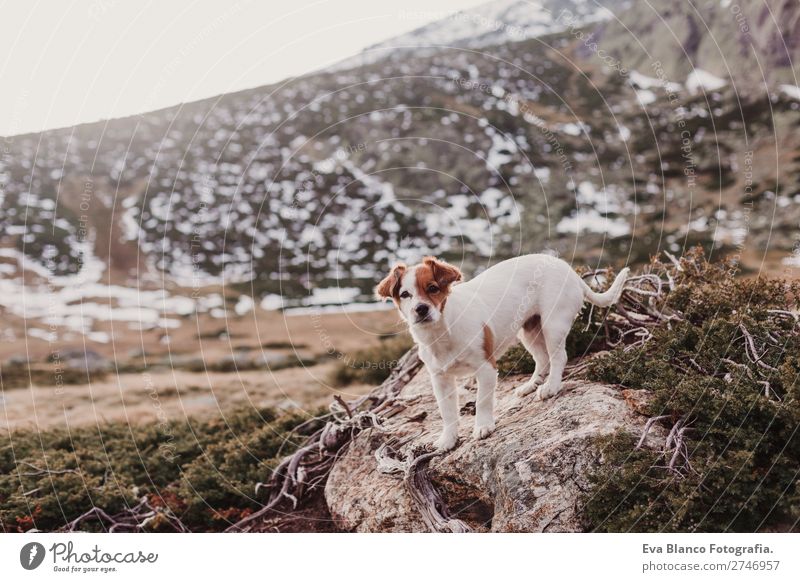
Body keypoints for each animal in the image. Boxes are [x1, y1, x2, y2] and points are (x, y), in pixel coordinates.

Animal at [376, 254, 632, 452]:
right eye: (405, 295)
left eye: (433, 288)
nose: (421, 309)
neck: (443, 331)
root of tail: (569, 270)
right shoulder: (441, 380)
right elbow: (447, 412)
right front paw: (448, 440)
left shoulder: (486, 368)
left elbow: (482, 401)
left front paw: (483, 426)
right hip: (529, 329)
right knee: (542, 358)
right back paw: (531, 385)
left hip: (553, 323)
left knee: (559, 357)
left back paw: (550, 387)